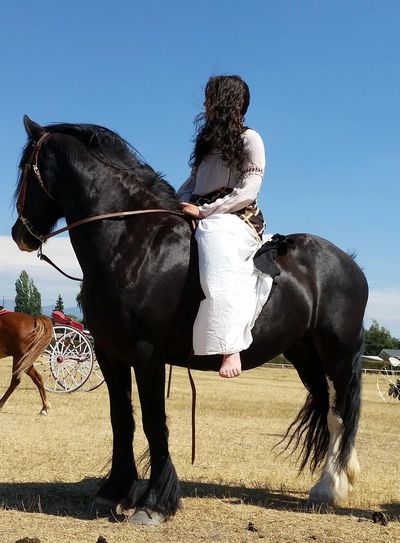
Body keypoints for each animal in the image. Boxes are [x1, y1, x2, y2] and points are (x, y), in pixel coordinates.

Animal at [11, 116, 368, 528]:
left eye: (25, 169)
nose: (18, 234)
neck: (135, 245)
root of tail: (348, 262)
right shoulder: (110, 353)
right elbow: (122, 420)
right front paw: (112, 493)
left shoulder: (146, 354)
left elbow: (154, 422)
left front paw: (153, 503)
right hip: (304, 356)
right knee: (328, 411)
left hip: (338, 356)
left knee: (341, 415)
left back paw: (330, 489)